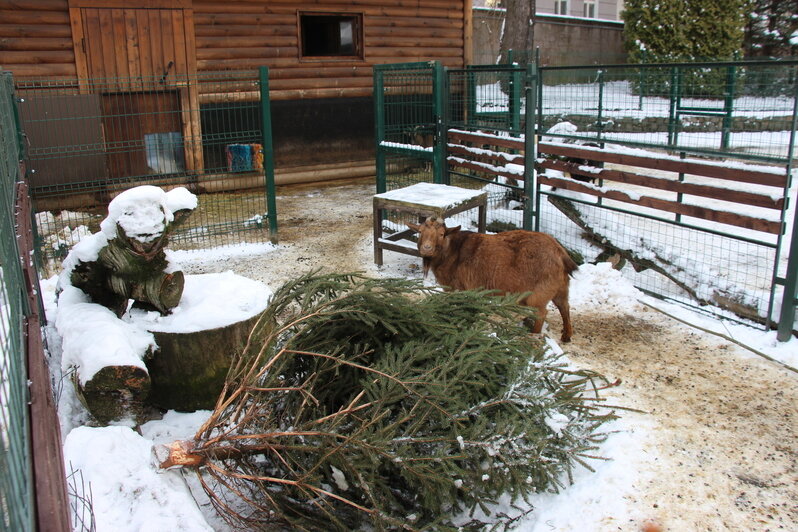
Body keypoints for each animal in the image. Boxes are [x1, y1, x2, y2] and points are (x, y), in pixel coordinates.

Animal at [410, 218, 580, 342]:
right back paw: (566, 336)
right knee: (564, 307)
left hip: (539, 292)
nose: (426, 248)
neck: (453, 252)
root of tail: (560, 254)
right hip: (560, 287)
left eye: (441, 234)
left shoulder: (463, 288)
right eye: (420, 232)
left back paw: (533, 334)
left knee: (541, 313)